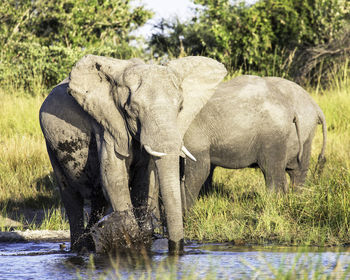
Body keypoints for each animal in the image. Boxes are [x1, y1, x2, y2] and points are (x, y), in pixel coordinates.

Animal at [40, 54, 227, 254]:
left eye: (181, 108)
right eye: (133, 110)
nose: (175, 249)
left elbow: (147, 179)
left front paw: (145, 239)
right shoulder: (107, 124)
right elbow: (114, 178)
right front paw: (131, 244)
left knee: (99, 199)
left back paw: (90, 244)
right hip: (51, 145)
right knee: (71, 197)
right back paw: (78, 250)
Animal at [180, 75, 328, 211]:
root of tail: (316, 106)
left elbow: (197, 169)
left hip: (280, 133)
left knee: (274, 171)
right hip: (302, 133)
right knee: (295, 171)